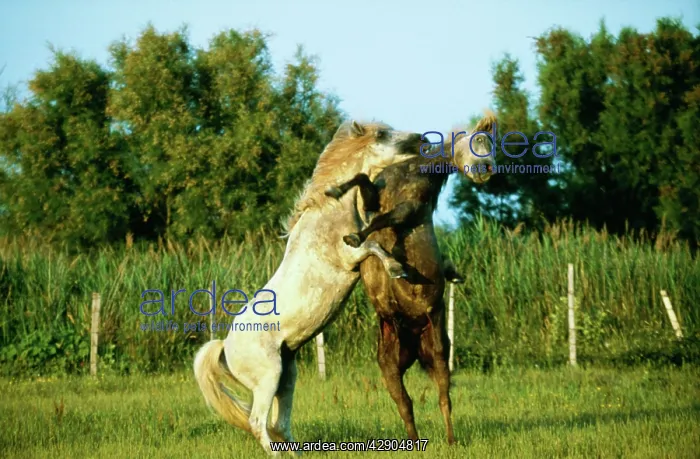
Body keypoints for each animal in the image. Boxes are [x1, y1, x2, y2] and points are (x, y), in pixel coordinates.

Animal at [193, 119, 424, 456]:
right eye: (382, 134)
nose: (421, 140)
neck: (329, 212)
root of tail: (225, 347)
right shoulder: (349, 257)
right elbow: (372, 245)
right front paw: (397, 269)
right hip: (269, 377)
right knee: (258, 423)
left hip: (287, 376)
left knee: (279, 424)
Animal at [324, 112, 497, 444]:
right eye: (481, 139)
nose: (487, 172)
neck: (413, 172)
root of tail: (414, 340)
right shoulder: (373, 196)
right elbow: (362, 181)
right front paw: (335, 191)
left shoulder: (408, 209)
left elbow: (382, 220)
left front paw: (357, 239)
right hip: (389, 365)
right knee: (405, 404)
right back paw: (414, 443)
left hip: (439, 353)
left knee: (444, 398)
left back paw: (451, 441)